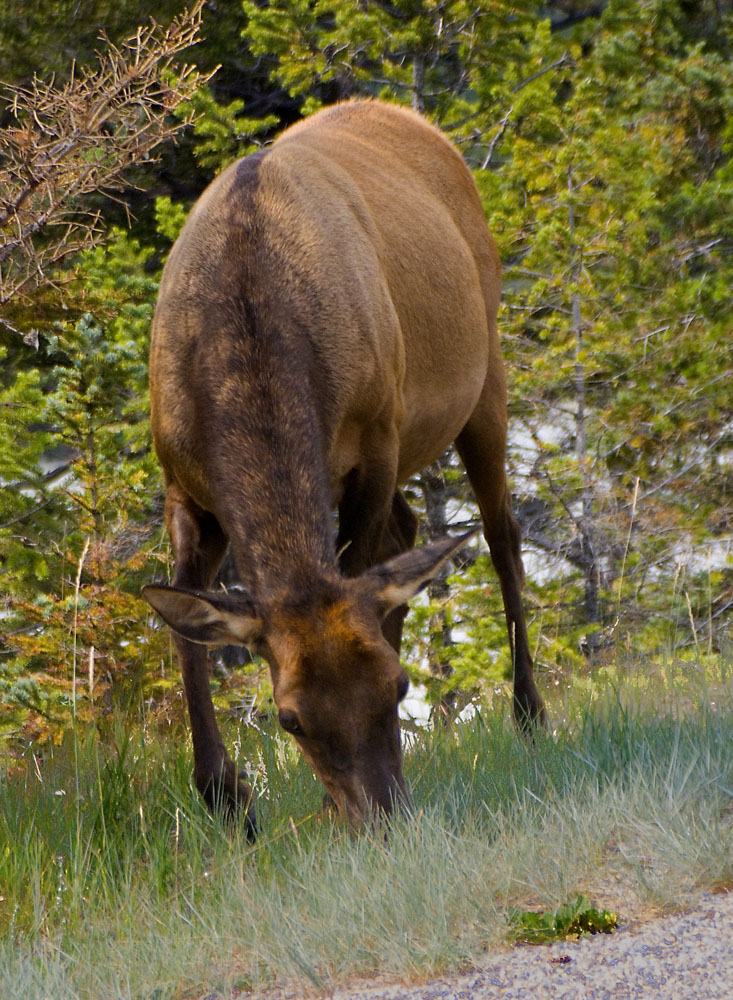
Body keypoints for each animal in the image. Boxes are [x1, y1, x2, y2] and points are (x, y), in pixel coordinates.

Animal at [142, 101, 544, 836]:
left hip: (483, 370)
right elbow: (186, 627)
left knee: (502, 533)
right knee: (411, 531)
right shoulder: (182, 480)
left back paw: (530, 714)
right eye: (289, 719)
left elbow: (360, 573)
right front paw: (225, 797)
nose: (382, 816)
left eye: (398, 685)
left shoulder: (376, 443)